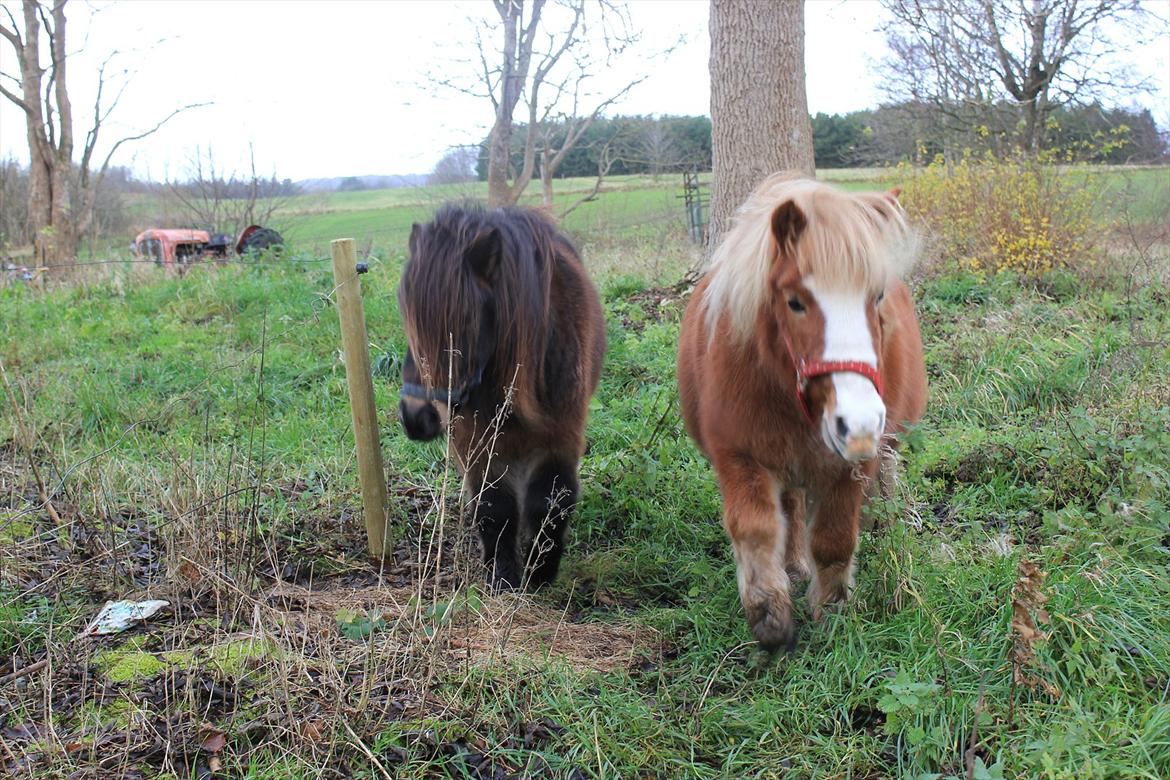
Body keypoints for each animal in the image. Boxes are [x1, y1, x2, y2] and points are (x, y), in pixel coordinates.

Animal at [400, 204, 608, 589]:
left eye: (466, 323)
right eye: (408, 321)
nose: (415, 416)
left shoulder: (560, 437)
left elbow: (550, 501)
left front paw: (541, 571)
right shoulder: (476, 444)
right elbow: (494, 506)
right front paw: (503, 575)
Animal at [673, 174, 926, 650]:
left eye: (877, 296)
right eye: (795, 302)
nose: (858, 424)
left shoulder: (848, 468)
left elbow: (834, 540)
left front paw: (832, 614)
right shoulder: (739, 456)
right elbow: (755, 530)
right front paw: (770, 615)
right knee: (790, 505)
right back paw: (792, 566)